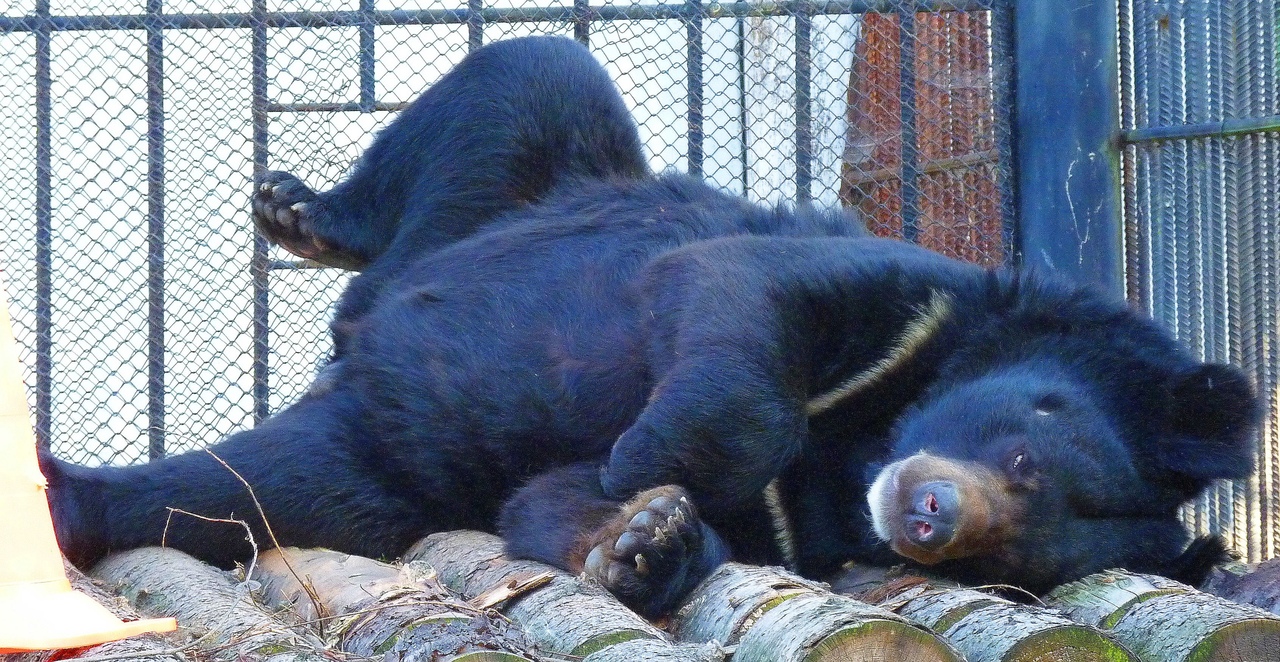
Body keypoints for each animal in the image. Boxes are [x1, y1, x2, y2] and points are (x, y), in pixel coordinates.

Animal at [39, 35, 1261, 618]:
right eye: (1027, 440)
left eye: (1009, 564)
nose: (928, 513)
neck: (867, 435)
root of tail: (358, 331)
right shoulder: (898, 291)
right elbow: (736, 297)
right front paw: (647, 458)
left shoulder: (794, 522)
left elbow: (548, 502)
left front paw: (642, 538)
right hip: (505, 195)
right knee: (532, 68)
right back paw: (302, 215)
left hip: (372, 472)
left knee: (228, 494)